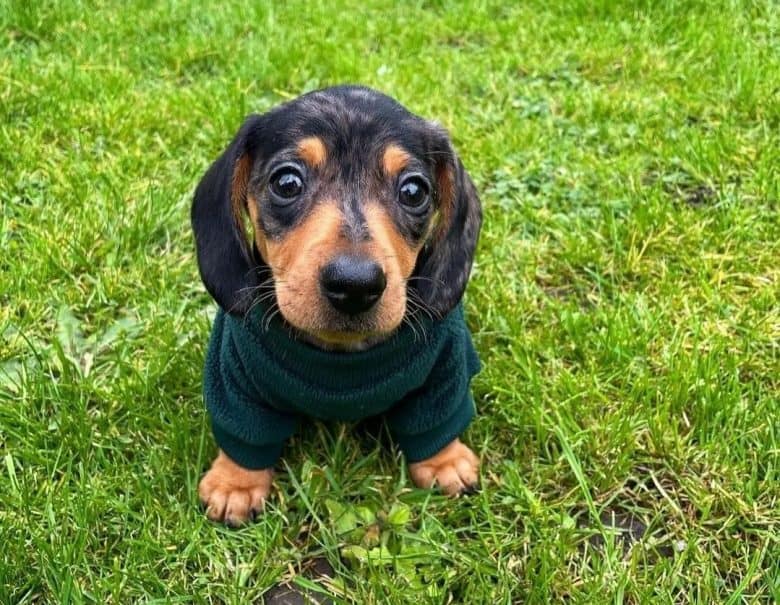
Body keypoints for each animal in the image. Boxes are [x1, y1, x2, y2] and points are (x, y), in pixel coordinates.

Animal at [191, 85, 482, 524]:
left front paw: (444, 461)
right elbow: (245, 426)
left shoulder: (444, 370)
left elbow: (437, 417)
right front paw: (235, 483)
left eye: (414, 191)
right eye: (287, 182)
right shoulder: (235, 375)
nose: (355, 284)